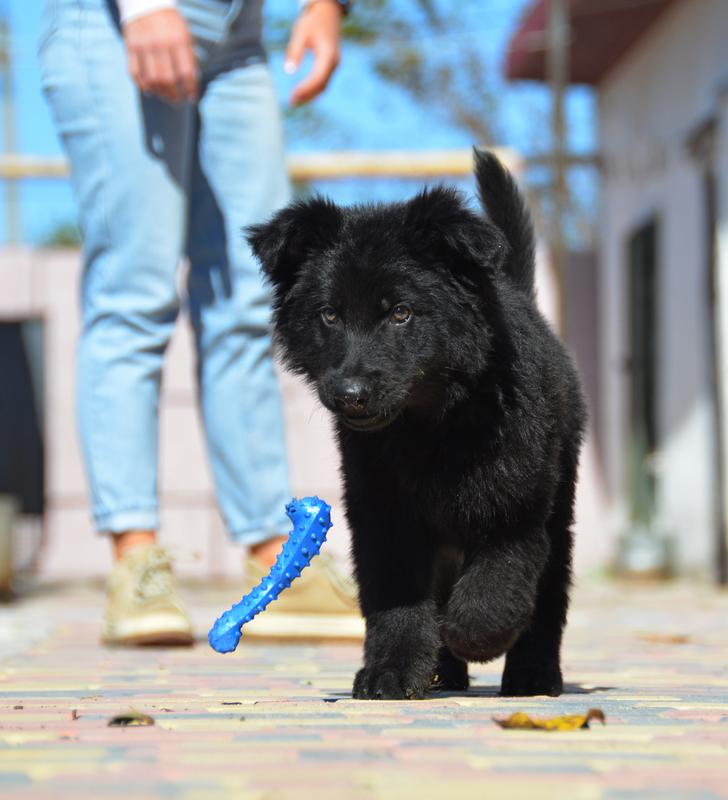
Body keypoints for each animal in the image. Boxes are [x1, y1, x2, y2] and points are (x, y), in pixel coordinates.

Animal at [247, 152, 588, 700]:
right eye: (329, 315)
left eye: (401, 313)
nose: (350, 395)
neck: (431, 426)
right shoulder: (382, 511)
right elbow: (397, 600)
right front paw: (391, 671)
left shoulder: (514, 506)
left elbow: (497, 588)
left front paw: (470, 634)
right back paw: (444, 672)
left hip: (558, 505)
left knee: (548, 590)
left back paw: (532, 675)